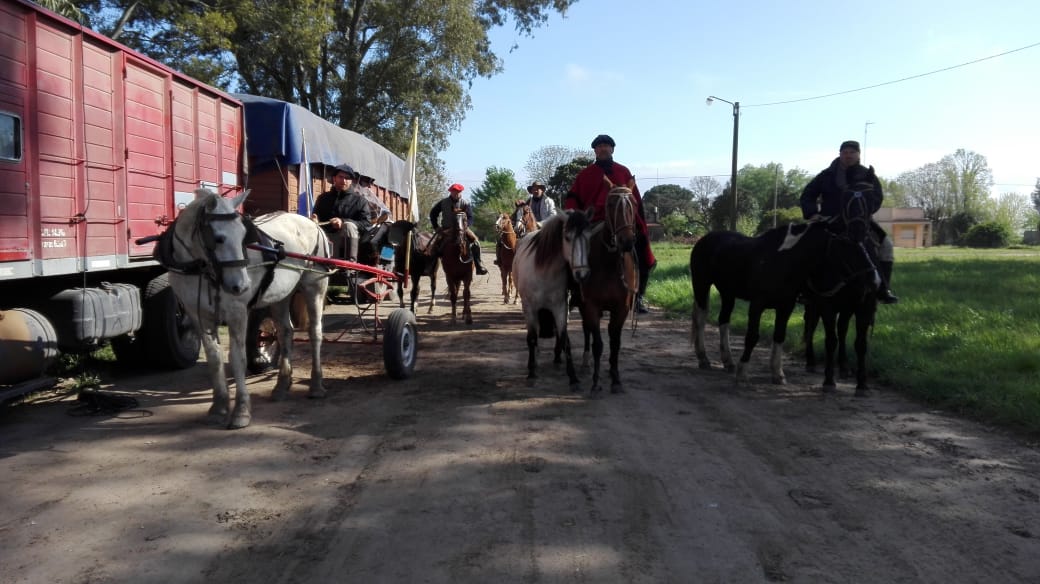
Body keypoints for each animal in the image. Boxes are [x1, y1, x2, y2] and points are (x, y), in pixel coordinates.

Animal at [159, 188, 329, 429]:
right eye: (218, 238)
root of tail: (313, 224)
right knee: (285, 332)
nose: (241, 285)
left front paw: (241, 410)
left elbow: (237, 358)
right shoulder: (198, 315)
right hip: (281, 295)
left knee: (315, 333)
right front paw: (219, 407)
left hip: (314, 286)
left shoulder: (237, 312)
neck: (200, 269)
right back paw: (281, 385)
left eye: (244, 236)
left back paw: (316, 384)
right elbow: (214, 358)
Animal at [512, 213, 580, 390]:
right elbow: (532, 338)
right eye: (567, 237)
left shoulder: (561, 307)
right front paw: (531, 371)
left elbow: (564, 338)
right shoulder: (530, 308)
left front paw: (573, 376)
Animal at [566, 186, 639, 396]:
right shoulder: (590, 305)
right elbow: (598, 344)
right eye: (611, 204)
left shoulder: (621, 308)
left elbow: (615, 342)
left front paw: (616, 379)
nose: (626, 241)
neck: (608, 264)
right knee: (584, 331)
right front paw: (596, 382)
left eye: (634, 204)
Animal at [689, 219, 875, 386]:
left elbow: (779, 336)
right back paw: (704, 358)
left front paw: (778, 374)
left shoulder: (786, 307)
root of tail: (704, 239)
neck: (782, 260)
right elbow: (752, 336)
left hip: (728, 293)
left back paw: (728, 361)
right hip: (701, 284)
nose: (873, 278)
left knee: (723, 320)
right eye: (845, 244)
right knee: (701, 319)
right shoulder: (757, 305)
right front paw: (742, 373)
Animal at [803, 177, 882, 395]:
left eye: (872, 198)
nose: (857, 231)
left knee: (843, 329)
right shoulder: (827, 305)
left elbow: (860, 343)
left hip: (846, 307)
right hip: (813, 304)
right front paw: (829, 380)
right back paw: (810, 361)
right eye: (846, 197)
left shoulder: (864, 306)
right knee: (811, 325)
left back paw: (844, 367)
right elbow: (830, 340)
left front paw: (862, 383)